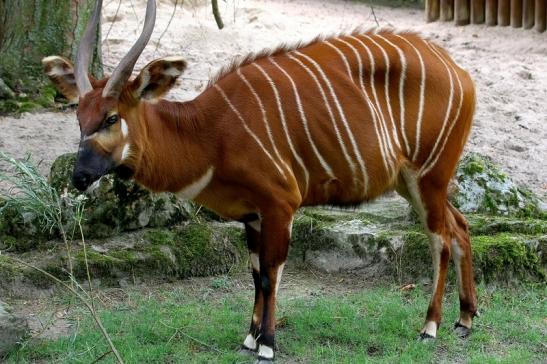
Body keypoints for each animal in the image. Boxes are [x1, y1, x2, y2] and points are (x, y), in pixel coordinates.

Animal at [42, 0, 478, 360]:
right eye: (79, 117)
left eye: (111, 117)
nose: (79, 176)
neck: (209, 133)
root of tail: (460, 71)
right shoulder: (252, 214)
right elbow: (254, 273)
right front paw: (249, 338)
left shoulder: (280, 204)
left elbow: (271, 273)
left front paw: (267, 344)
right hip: (413, 182)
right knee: (460, 226)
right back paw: (465, 320)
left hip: (428, 176)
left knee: (440, 238)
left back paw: (430, 327)